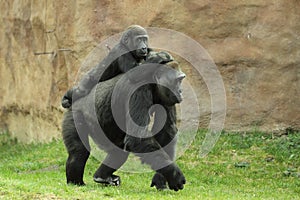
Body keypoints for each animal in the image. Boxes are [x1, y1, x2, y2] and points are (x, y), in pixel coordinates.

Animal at [62, 51, 186, 191]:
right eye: (178, 81)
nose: (180, 92)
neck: (153, 82)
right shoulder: (140, 90)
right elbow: (138, 138)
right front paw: (174, 175)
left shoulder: (167, 97)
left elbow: (167, 132)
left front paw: (160, 179)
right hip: (75, 114)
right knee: (78, 152)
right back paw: (75, 182)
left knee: (118, 150)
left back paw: (101, 176)